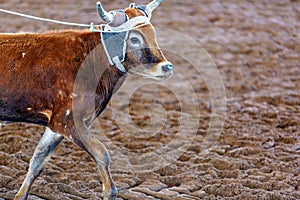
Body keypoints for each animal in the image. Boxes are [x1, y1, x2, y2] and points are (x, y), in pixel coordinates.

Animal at [0, 0, 173, 199]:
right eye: (135, 39)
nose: (167, 67)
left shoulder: (56, 125)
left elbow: (38, 161)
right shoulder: (68, 120)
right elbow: (102, 154)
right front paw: (109, 192)